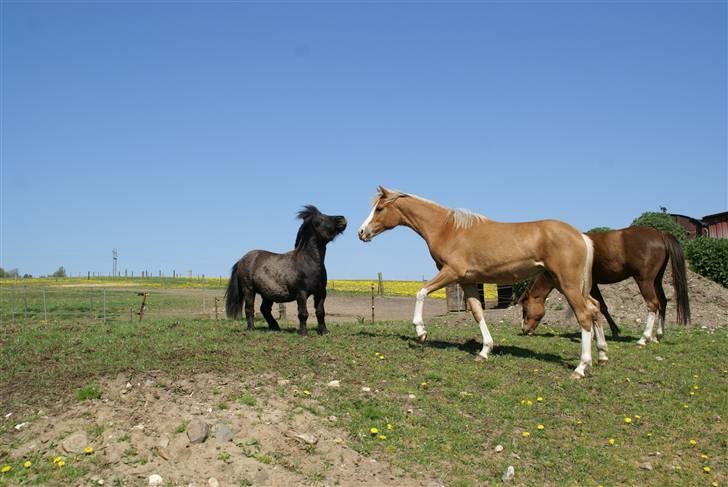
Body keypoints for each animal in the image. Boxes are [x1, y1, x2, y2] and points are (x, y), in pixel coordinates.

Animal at [358, 185, 604, 380]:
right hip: (566, 283)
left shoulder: (451, 272)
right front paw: (485, 351)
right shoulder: (468, 280)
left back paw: (581, 368)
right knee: (594, 308)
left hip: (567, 283)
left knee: (584, 315)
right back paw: (602, 355)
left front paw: (421, 333)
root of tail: (581, 236)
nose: (361, 232)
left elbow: (421, 292)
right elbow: (477, 313)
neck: (447, 229)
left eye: (379, 209)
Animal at [520, 226, 692, 346]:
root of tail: (660, 234)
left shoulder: (587, 286)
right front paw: (610, 331)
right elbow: (601, 307)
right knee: (663, 302)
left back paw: (644, 338)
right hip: (657, 280)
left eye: (525, 309)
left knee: (653, 304)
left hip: (645, 280)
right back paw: (658, 336)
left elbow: (598, 307)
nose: (524, 330)